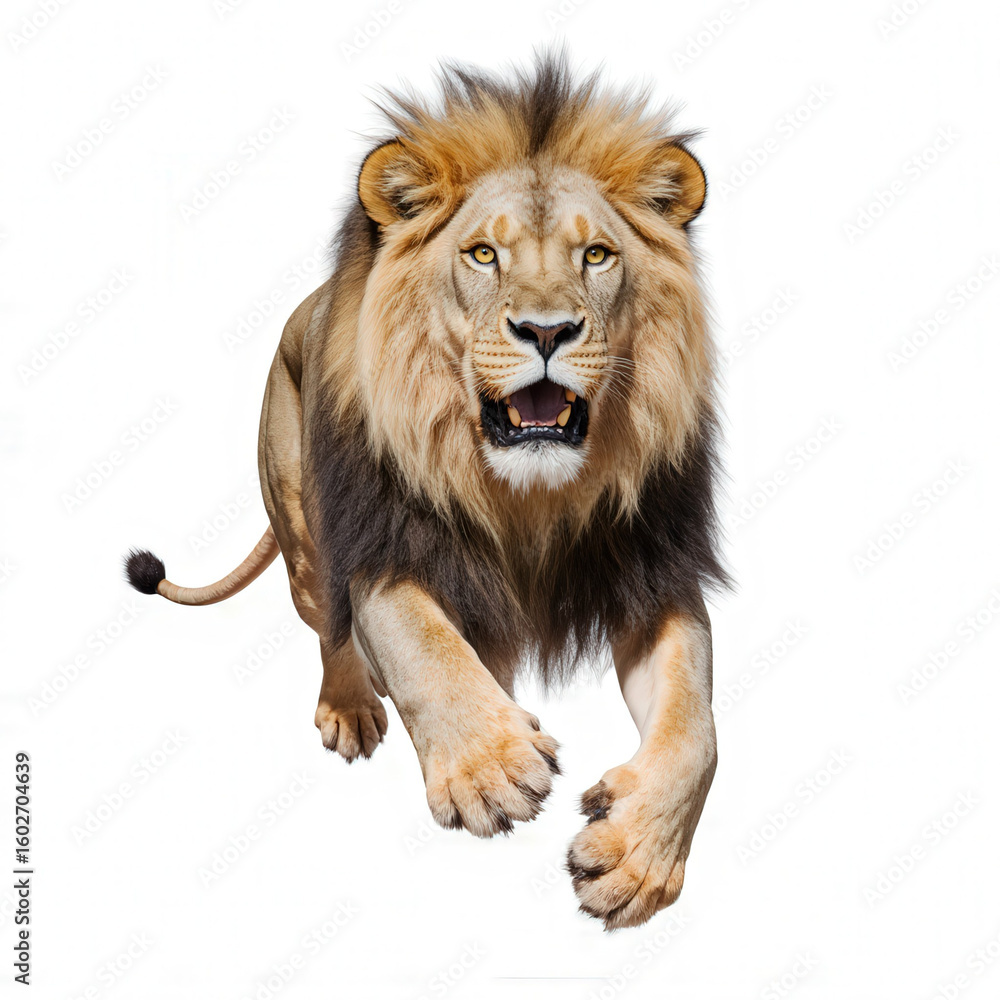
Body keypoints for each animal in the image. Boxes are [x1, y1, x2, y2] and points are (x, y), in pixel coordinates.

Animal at [124, 54, 729, 930]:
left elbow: (696, 727)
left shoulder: (651, 573)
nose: (547, 331)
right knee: (331, 629)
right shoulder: (387, 545)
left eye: (596, 256)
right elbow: (422, 645)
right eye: (481, 255)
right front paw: (490, 767)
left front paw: (637, 856)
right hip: (305, 540)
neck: (526, 498)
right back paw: (353, 708)